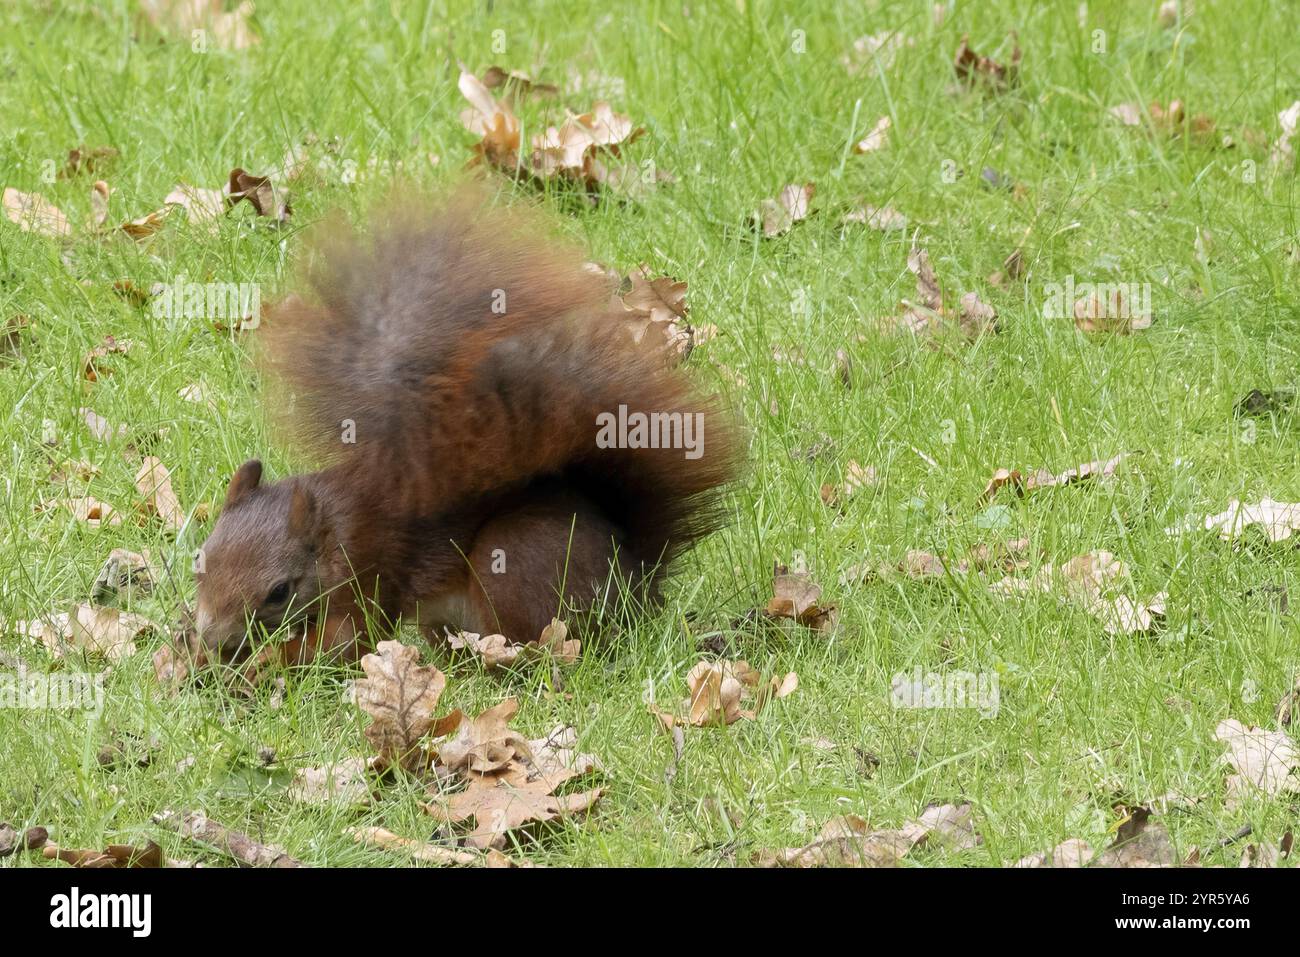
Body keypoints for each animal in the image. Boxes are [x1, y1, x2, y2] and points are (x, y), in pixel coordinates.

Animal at [193, 191, 743, 666]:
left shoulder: (364, 575)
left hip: (516, 562)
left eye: (279, 592)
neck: (330, 526)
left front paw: (254, 667)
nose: (213, 638)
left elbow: (343, 643)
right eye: (200, 559)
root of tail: (638, 583)